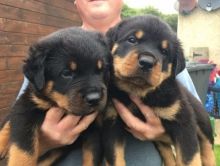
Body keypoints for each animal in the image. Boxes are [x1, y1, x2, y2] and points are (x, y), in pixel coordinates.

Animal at [0, 27, 110, 166]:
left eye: (102, 70)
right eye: (66, 73)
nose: (94, 98)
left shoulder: (94, 129)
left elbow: (92, 157)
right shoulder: (27, 107)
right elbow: (24, 151)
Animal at [104, 15, 216, 166]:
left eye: (164, 51)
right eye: (132, 39)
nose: (146, 62)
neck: (138, 91)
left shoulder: (184, 124)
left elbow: (189, 159)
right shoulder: (112, 125)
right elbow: (115, 158)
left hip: (201, 120)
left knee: (207, 146)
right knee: (168, 152)